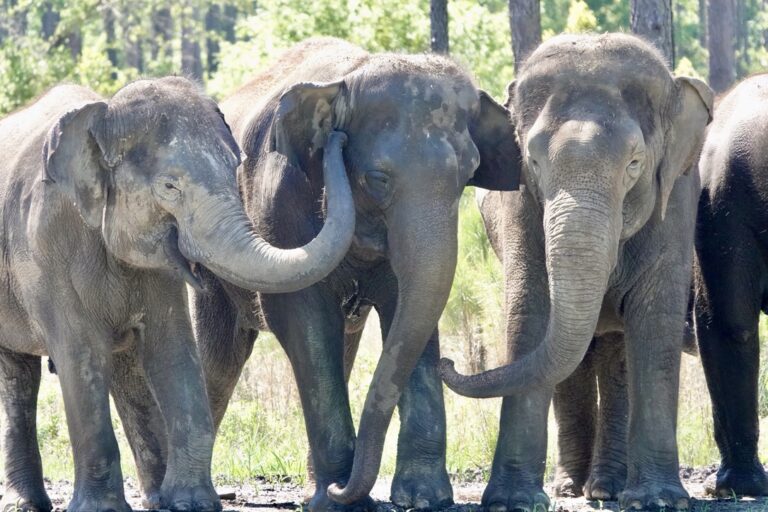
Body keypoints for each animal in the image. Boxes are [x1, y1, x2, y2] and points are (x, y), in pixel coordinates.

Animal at [0, 77, 354, 512]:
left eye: (236, 171)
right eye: (170, 187)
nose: (338, 135)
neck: (103, 119)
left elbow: (174, 352)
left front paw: (191, 502)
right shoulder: (48, 250)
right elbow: (81, 356)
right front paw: (103, 508)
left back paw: (155, 496)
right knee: (20, 373)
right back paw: (27, 503)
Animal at [175, 37, 519, 512]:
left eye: (468, 175)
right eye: (378, 178)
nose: (452, 363)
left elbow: (409, 313)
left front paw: (424, 498)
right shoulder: (280, 206)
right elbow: (300, 319)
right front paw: (344, 498)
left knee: (342, 347)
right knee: (222, 357)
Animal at [440, 33, 713, 511]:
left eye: (635, 164)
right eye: (533, 162)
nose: (445, 361)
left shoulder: (676, 199)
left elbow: (654, 319)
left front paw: (658, 500)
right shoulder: (520, 203)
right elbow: (531, 312)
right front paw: (512, 500)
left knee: (615, 351)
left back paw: (607, 487)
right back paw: (572, 486)